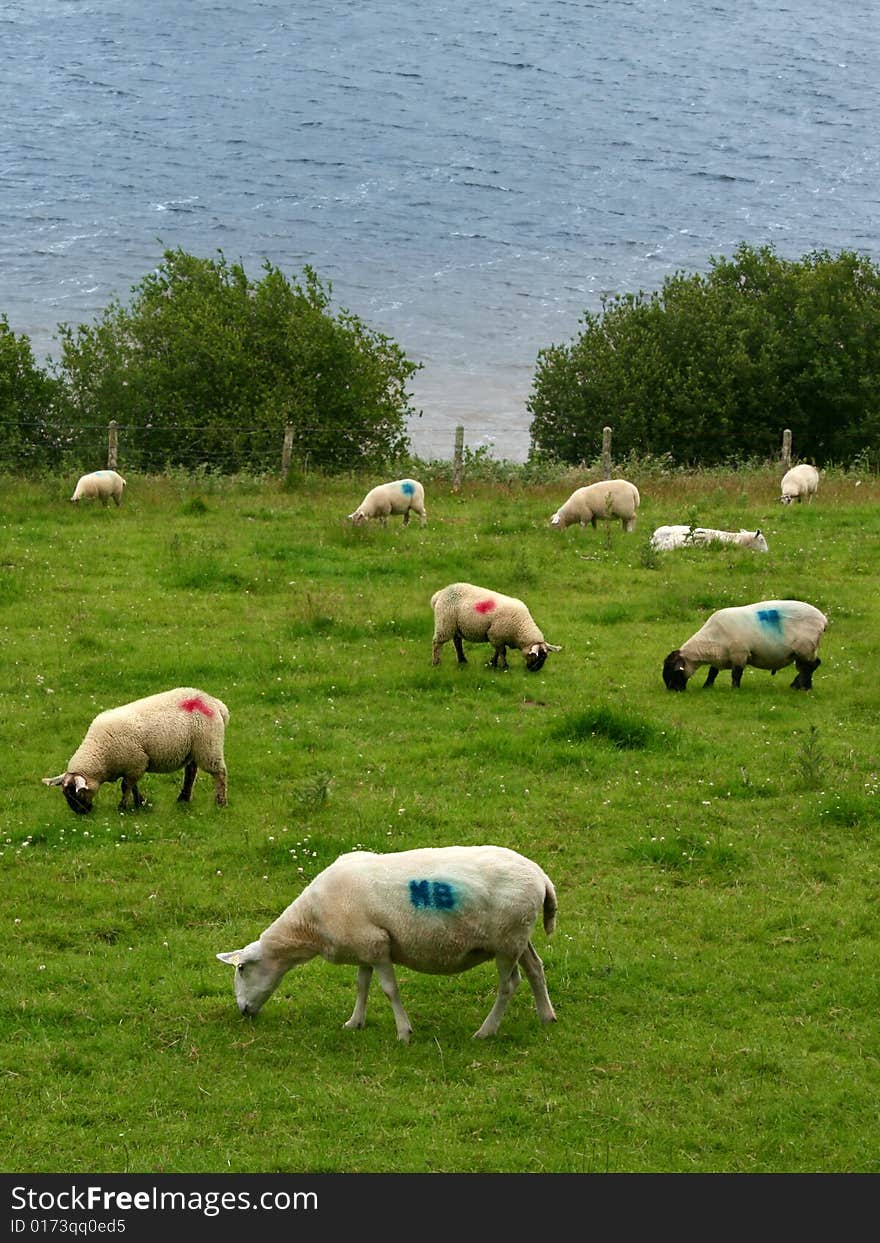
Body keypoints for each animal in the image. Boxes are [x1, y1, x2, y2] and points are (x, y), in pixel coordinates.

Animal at [42, 686, 228, 810]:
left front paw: (123, 807)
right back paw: (183, 798)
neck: (101, 754)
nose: (80, 813)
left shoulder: (136, 762)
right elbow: (133, 786)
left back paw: (220, 802)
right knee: (191, 772)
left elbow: (125, 787)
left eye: (77, 793)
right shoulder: (134, 766)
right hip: (193, 748)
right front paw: (140, 802)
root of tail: (215, 703)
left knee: (219, 773)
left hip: (209, 746)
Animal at [215, 845, 556, 1039]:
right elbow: (361, 985)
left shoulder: (377, 944)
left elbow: (389, 989)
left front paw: (403, 1032)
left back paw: (486, 1031)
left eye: (242, 969)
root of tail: (541, 876)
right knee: (536, 969)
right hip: (518, 937)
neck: (309, 924)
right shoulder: (363, 946)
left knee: (509, 984)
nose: (243, 1010)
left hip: (507, 939)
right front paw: (355, 1023)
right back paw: (547, 1017)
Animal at [430, 579, 559, 671]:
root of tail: (440, 593)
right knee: (437, 643)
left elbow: (498, 651)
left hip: (455, 625)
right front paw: (504, 666)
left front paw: (492, 663)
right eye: (538, 656)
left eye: (545, 657)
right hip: (445, 622)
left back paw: (462, 660)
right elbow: (502, 652)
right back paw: (436, 663)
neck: (520, 628)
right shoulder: (496, 635)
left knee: (457, 642)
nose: (535, 670)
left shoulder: (497, 637)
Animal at [661, 599, 830, 696]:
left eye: (672, 671)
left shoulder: (739, 654)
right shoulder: (720, 658)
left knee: (811, 665)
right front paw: (706, 687)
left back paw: (804, 687)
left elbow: (736, 674)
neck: (711, 640)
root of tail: (823, 619)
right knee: (806, 666)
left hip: (806, 647)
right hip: (802, 650)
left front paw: (735, 690)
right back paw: (797, 685)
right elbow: (712, 673)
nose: (673, 691)